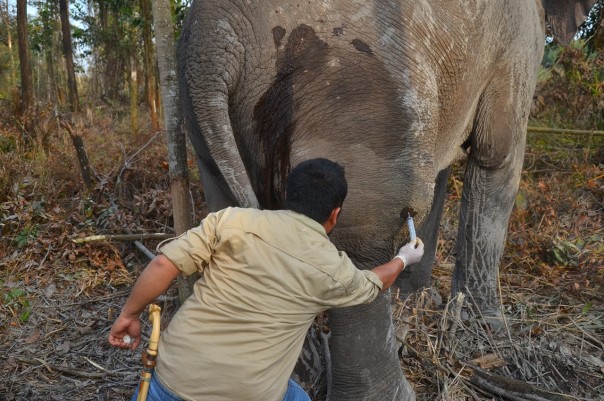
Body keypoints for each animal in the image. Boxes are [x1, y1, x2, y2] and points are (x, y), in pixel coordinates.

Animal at [173, 0, 596, 400]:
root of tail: (213, 41)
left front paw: (419, 298)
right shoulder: (517, 39)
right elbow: (498, 157)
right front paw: (489, 334)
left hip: (214, 126)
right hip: (356, 92)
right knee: (366, 234)